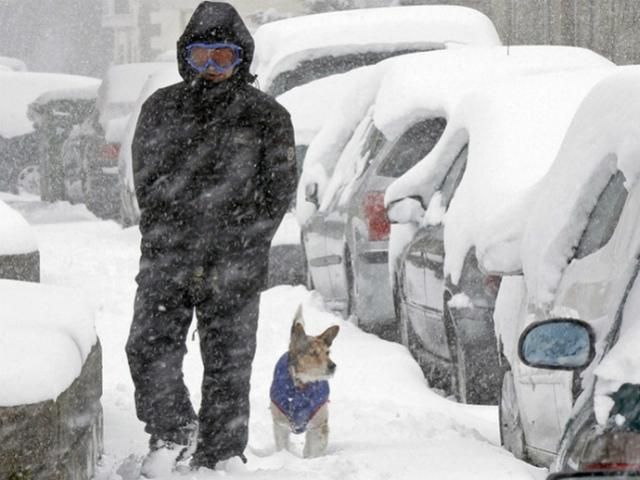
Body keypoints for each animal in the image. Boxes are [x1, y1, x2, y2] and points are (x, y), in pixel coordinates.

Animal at [268, 304, 340, 458]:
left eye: (327, 353)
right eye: (313, 353)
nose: (332, 366)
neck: (301, 386)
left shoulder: (319, 426)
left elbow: (314, 451)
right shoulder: (280, 424)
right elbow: (282, 445)